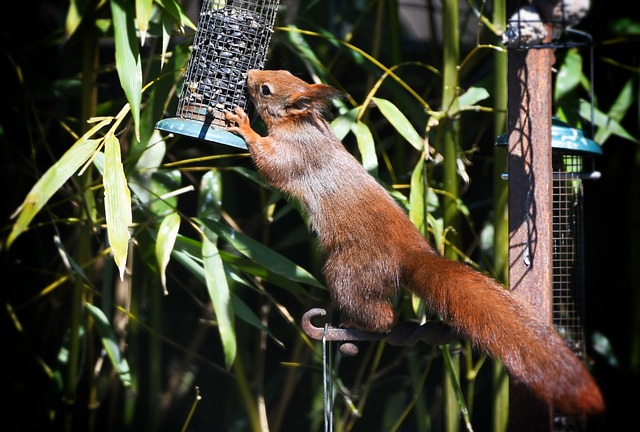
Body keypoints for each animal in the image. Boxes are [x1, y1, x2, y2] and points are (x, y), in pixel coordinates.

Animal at [225, 69, 604, 416]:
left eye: (266, 88)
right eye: (283, 71)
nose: (249, 74)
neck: (303, 123)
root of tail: (411, 255)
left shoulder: (297, 154)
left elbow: (272, 165)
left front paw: (243, 125)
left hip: (347, 270)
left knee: (382, 319)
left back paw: (356, 325)